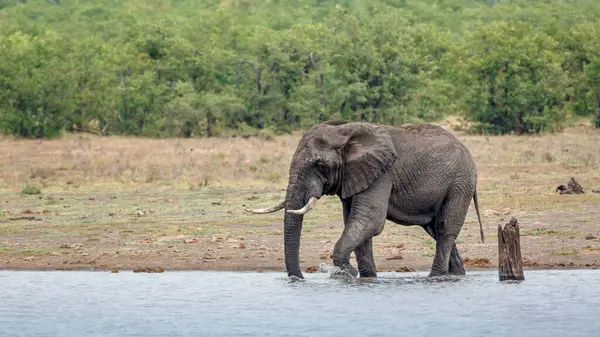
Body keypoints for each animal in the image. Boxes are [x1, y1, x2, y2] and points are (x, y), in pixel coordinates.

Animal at [244, 120, 482, 278]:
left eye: (319, 165)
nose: (299, 277)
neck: (345, 132)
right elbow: (356, 224)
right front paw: (367, 278)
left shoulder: (382, 173)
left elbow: (369, 221)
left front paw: (346, 272)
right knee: (437, 230)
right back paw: (457, 275)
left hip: (460, 183)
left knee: (445, 229)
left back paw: (436, 277)